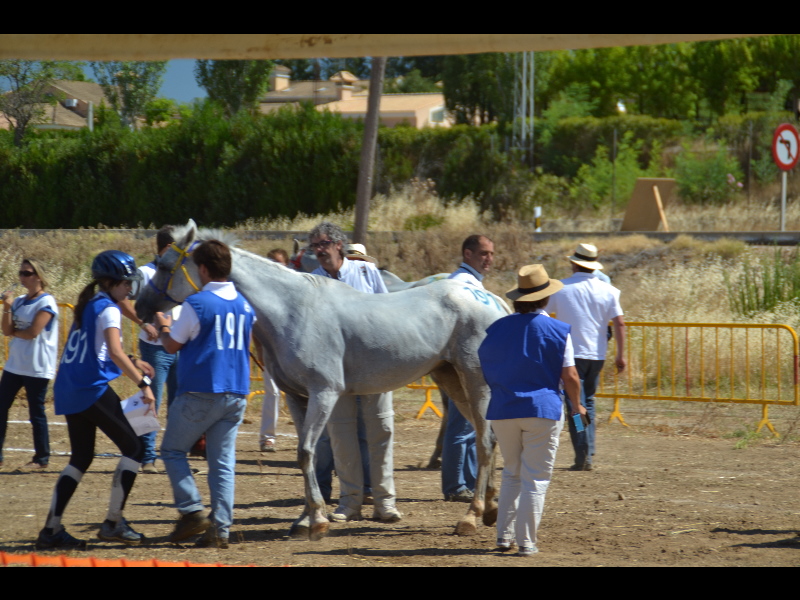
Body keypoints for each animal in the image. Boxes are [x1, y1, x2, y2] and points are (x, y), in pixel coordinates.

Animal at [134, 223, 504, 540]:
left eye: (164, 265)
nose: (140, 307)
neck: (292, 309)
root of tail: (490, 299)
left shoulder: (324, 393)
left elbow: (306, 452)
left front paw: (318, 520)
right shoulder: (297, 397)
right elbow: (307, 455)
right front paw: (305, 519)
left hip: (475, 382)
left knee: (485, 441)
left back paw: (471, 516)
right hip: (452, 380)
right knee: (489, 436)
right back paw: (491, 507)